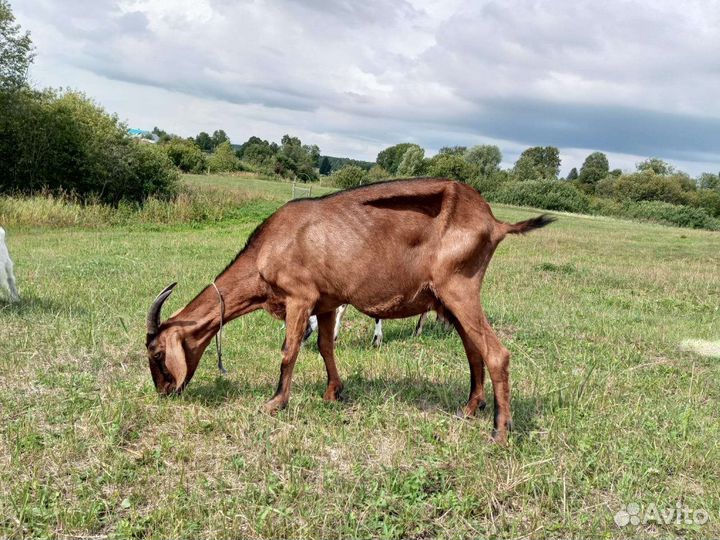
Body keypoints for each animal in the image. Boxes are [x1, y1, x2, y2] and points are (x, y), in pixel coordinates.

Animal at [145, 178, 554, 442]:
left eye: (158, 353)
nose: (165, 392)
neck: (270, 247)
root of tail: (494, 222)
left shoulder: (299, 297)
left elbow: (289, 350)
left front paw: (275, 403)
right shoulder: (326, 303)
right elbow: (325, 346)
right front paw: (333, 393)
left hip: (460, 288)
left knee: (497, 353)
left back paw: (500, 431)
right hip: (450, 298)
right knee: (474, 351)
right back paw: (470, 408)